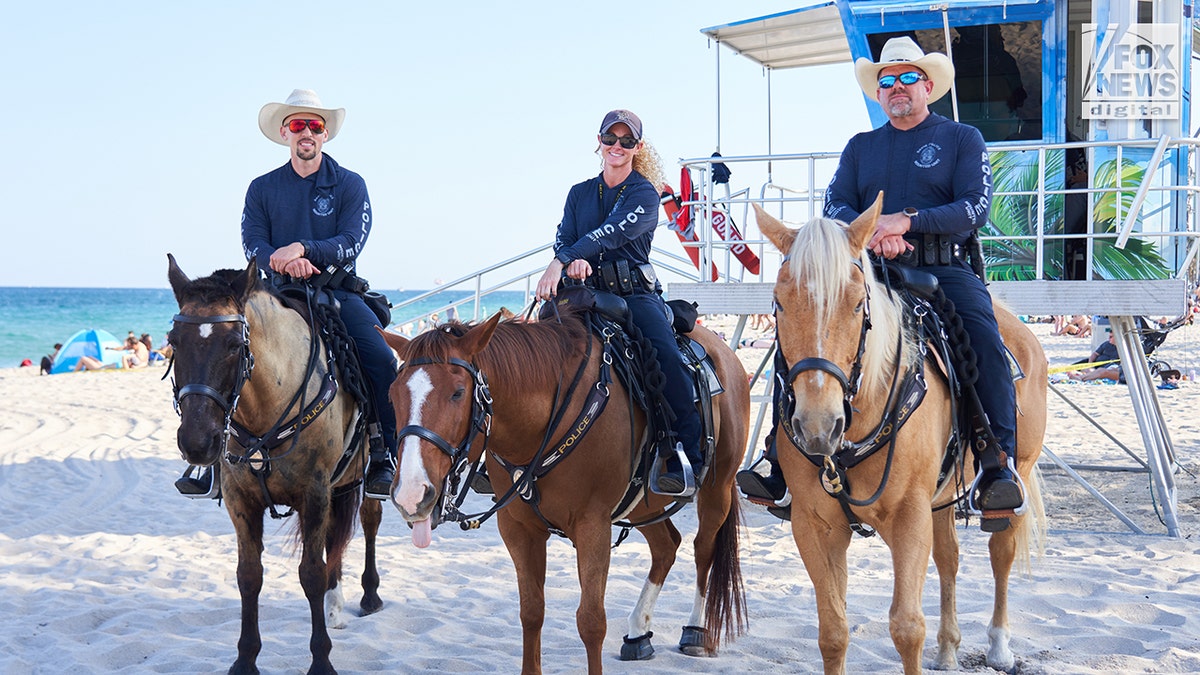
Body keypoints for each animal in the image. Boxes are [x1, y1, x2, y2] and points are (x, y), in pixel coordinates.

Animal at [379, 312, 744, 672]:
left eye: (457, 393)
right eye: (393, 394)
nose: (410, 494)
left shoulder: (593, 526)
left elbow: (591, 622)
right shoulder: (518, 528)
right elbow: (531, 612)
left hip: (718, 490)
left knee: (703, 550)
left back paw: (695, 630)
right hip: (645, 505)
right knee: (667, 546)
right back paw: (638, 632)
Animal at [753, 200, 1046, 672]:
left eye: (858, 304)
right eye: (779, 302)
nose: (818, 427)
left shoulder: (910, 518)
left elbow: (907, 628)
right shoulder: (815, 525)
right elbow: (833, 632)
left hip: (1014, 472)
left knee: (1001, 553)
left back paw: (1000, 645)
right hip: (940, 501)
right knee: (949, 559)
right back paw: (948, 647)